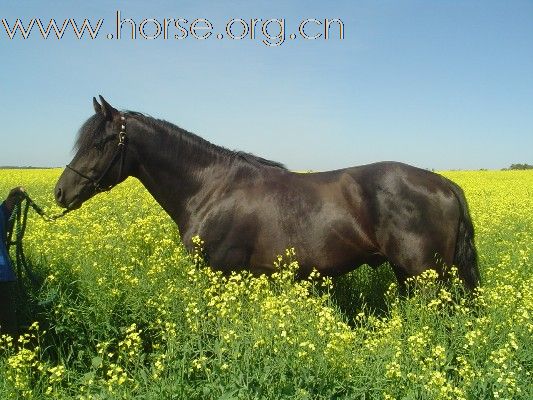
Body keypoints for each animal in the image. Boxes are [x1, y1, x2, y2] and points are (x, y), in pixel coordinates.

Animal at [53, 97, 478, 290]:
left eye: (99, 142)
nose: (60, 192)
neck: (210, 189)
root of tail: (445, 184)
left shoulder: (221, 273)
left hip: (425, 277)